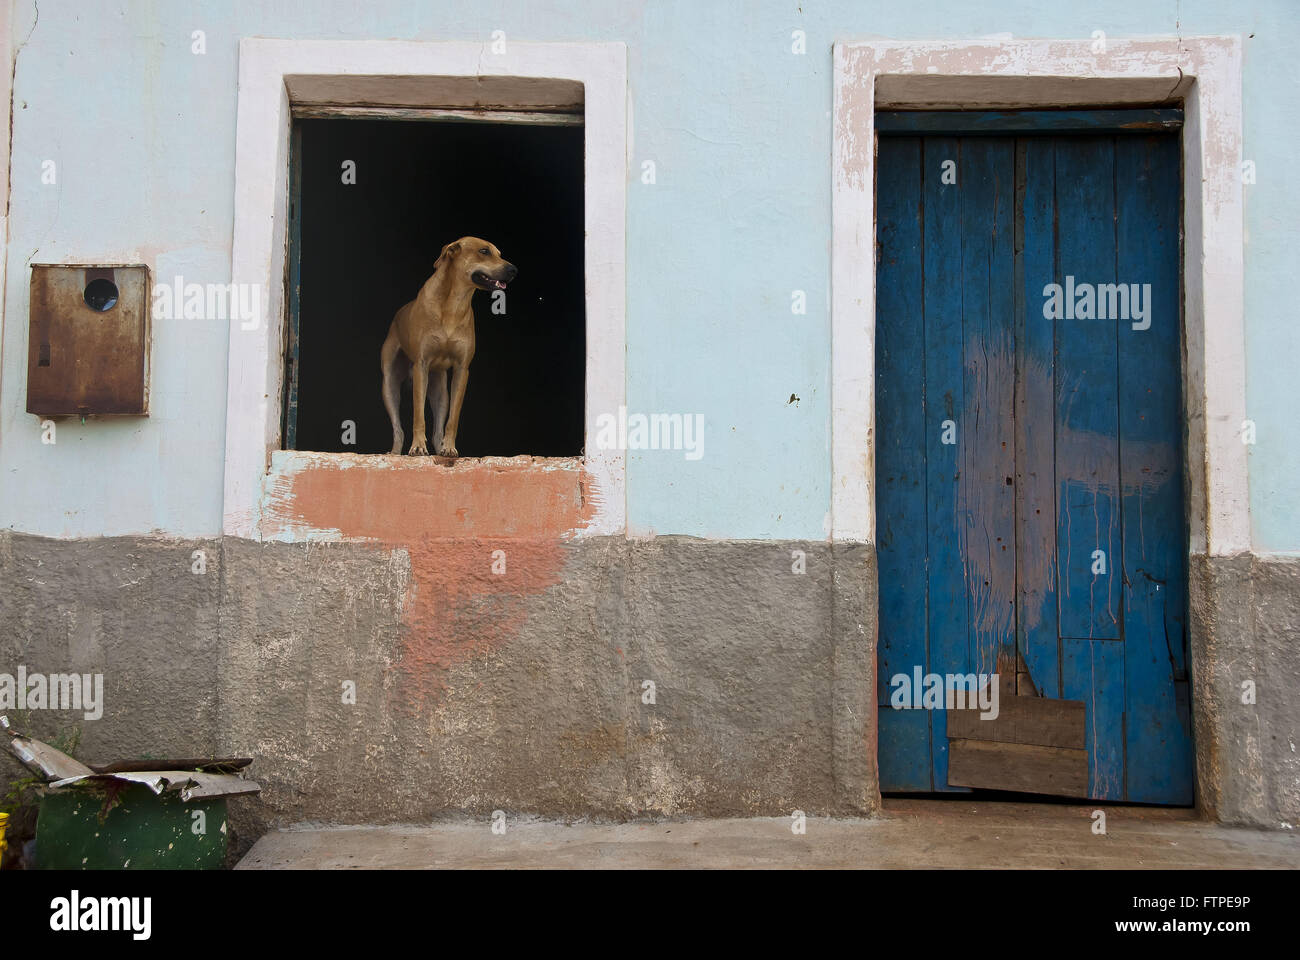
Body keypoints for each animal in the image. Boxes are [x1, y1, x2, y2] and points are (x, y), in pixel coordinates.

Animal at [379, 234, 514, 455]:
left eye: (499, 253)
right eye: (484, 251)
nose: (514, 270)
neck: (454, 302)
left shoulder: (462, 370)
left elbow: (453, 418)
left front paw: (449, 447)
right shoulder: (421, 366)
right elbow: (418, 414)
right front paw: (418, 446)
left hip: (440, 392)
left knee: (437, 430)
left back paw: (440, 447)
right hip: (390, 385)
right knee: (398, 429)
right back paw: (396, 453)